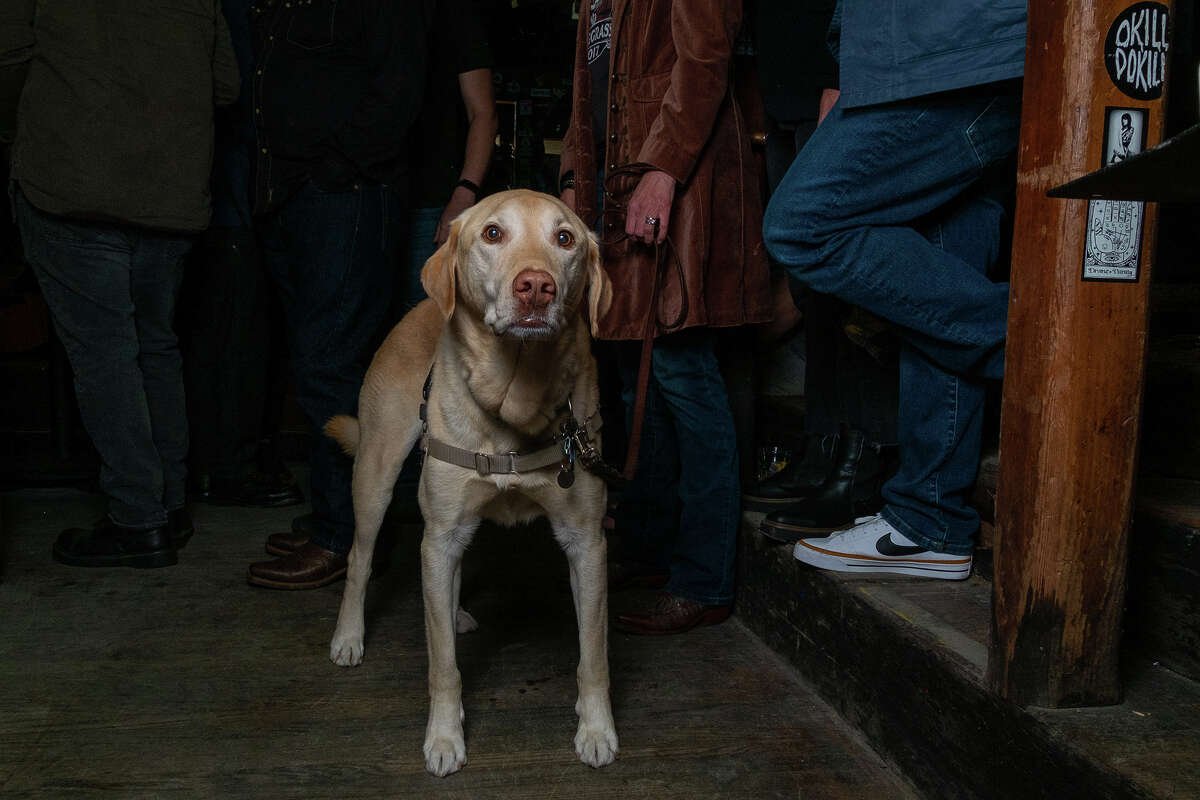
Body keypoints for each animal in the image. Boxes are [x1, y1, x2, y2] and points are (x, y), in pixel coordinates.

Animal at [321, 188, 614, 777]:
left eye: (565, 238)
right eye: (493, 234)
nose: (536, 286)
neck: (514, 402)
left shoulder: (587, 543)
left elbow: (592, 653)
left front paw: (596, 729)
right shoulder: (439, 535)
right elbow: (443, 667)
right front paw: (444, 737)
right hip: (377, 477)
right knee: (361, 558)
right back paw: (349, 635)